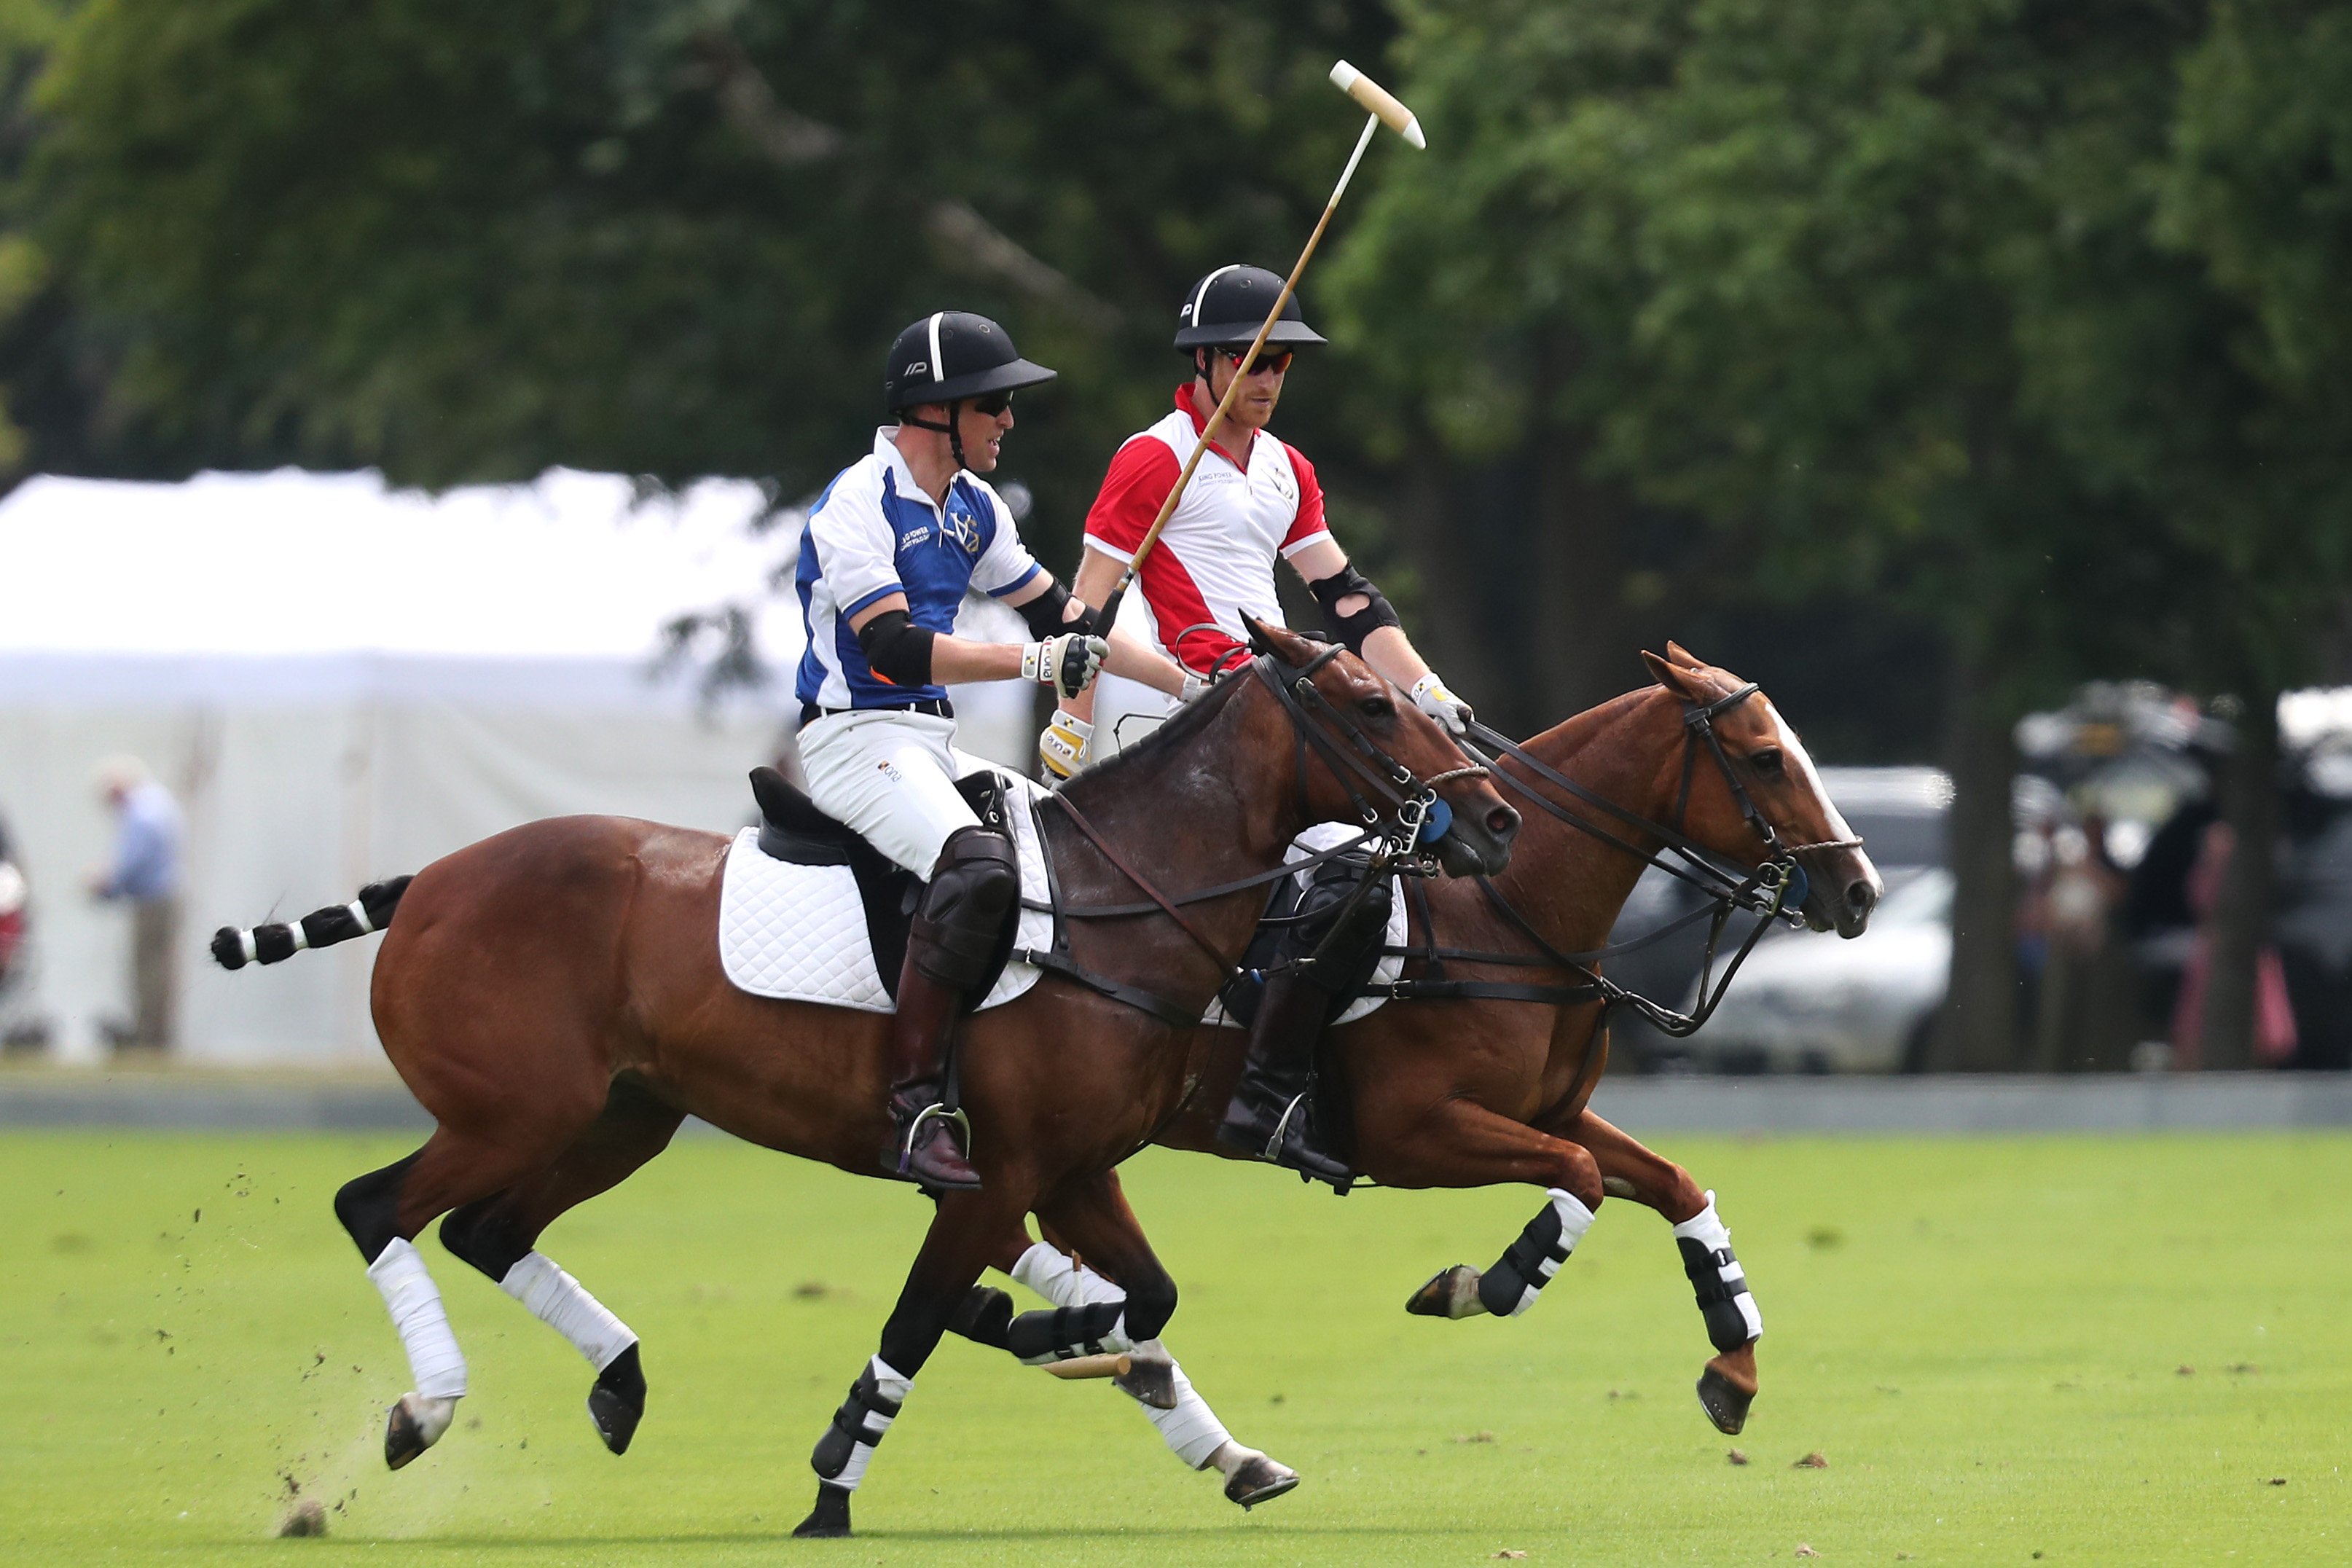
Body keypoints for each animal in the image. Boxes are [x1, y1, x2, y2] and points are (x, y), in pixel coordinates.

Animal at [211, 620, 1514, 1542]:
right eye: (1366, 705)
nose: (1495, 819)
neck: (1122, 902)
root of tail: (428, 882)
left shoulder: (1075, 1170)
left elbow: (1145, 1295)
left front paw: (1051, 1332)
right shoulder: (996, 1175)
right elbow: (921, 1320)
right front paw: (839, 1478)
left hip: (622, 1117)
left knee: (486, 1229)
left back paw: (619, 1383)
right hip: (512, 1110)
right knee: (377, 1206)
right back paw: (426, 1407)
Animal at [987, 639, 1872, 1476]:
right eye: (1766, 756)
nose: (1861, 890)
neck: (1508, 911)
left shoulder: (1551, 1111)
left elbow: (1674, 1184)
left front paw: (1735, 1370)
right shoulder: (1412, 1133)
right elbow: (1581, 1178)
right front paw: (1474, 1288)